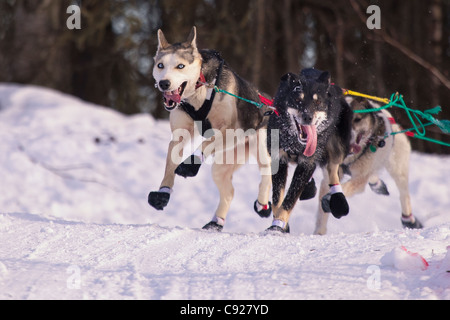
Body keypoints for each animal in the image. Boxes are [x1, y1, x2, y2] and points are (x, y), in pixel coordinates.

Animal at [149, 25, 272, 230]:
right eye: (160, 65)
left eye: (180, 66)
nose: (164, 83)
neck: (199, 89)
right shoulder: (179, 135)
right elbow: (170, 165)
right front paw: (163, 192)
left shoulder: (230, 131)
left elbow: (207, 143)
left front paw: (192, 163)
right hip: (223, 165)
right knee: (229, 191)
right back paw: (216, 222)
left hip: (260, 146)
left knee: (267, 173)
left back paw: (263, 203)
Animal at [266, 69, 354, 232]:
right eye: (297, 99)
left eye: (317, 102)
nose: (308, 117)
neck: (295, 143)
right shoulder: (279, 158)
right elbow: (277, 199)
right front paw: (280, 223)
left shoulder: (308, 162)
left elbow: (289, 200)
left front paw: (278, 225)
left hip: (338, 144)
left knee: (333, 168)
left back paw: (338, 199)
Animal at [312, 97, 422, 235]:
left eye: (357, 119)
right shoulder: (329, 176)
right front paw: (319, 232)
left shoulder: (360, 177)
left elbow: (347, 186)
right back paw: (377, 184)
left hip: (397, 167)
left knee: (404, 193)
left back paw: (409, 220)